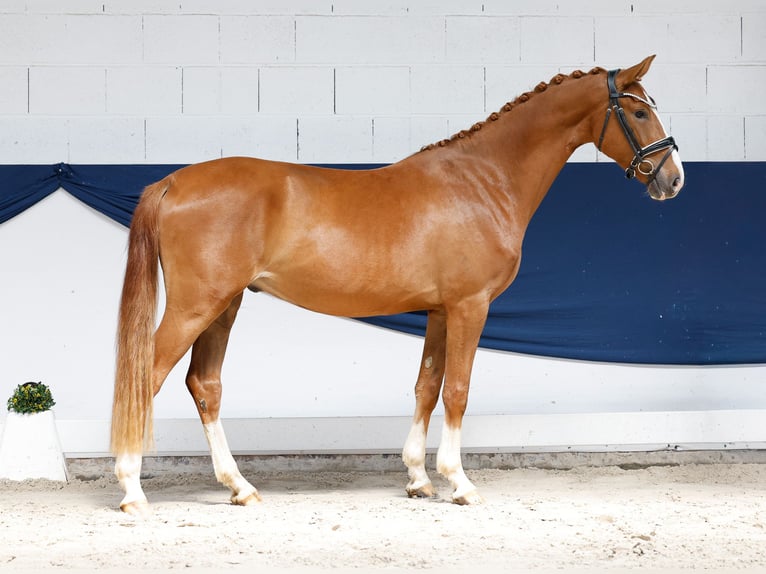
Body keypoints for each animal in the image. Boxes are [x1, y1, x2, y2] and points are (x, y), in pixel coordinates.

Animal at [111, 55, 684, 515]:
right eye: (638, 112)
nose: (673, 178)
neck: (483, 180)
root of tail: (172, 181)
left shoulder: (439, 310)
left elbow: (427, 386)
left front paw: (417, 479)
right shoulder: (470, 306)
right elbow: (457, 390)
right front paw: (460, 483)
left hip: (223, 305)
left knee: (204, 386)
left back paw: (240, 487)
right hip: (195, 306)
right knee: (148, 377)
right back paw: (133, 491)